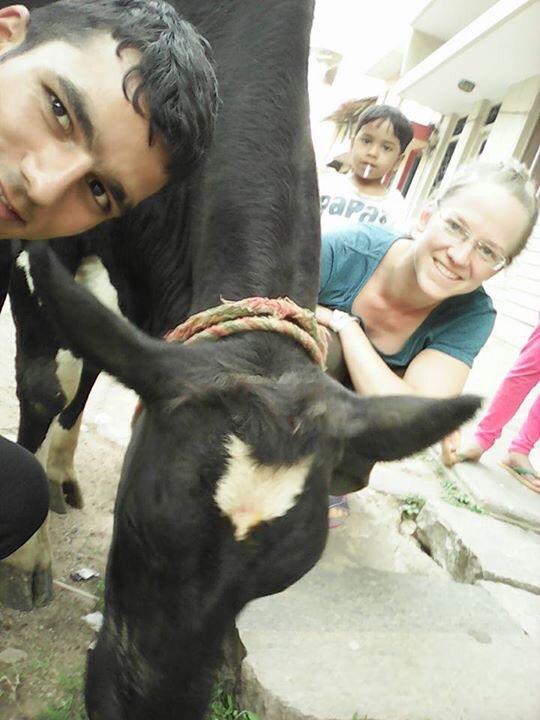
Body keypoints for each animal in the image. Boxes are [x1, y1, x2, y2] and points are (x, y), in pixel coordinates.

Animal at [16, 1, 482, 718]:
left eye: (275, 580)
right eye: (137, 525)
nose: (150, 710)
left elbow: (95, 360)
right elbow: (46, 382)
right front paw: (28, 560)